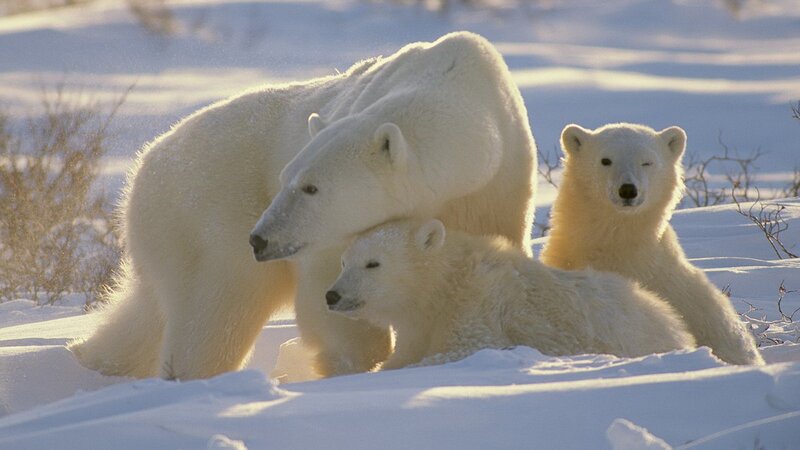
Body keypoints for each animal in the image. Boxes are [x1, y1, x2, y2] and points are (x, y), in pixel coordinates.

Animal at [69, 31, 538, 380]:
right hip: (207, 213)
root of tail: (143, 165)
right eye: (286, 178)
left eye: (310, 187)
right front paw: (355, 363)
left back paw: (89, 358)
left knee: (147, 310)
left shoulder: (498, 187)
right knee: (218, 308)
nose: (260, 239)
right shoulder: (329, 238)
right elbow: (328, 292)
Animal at [325, 218, 695, 370]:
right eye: (343, 261)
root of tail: (675, 324)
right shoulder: (419, 324)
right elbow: (405, 352)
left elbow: (465, 348)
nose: (332, 295)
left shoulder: (479, 304)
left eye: (373, 263)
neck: (446, 283)